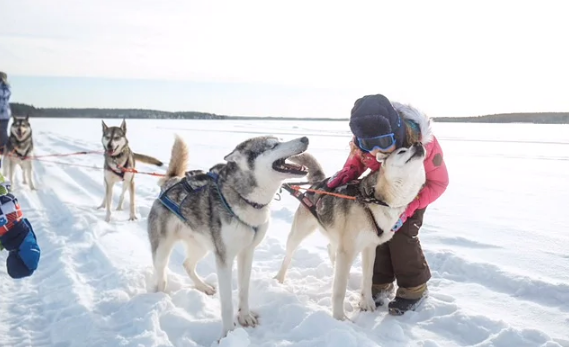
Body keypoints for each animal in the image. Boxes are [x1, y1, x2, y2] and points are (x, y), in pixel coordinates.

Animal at [146, 135, 306, 338]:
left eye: (280, 140)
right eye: (273, 145)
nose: (305, 138)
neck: (249, 201)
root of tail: (172, 181)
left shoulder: (247, 252)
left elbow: (244, 290)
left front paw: (245, 317)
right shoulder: (224, 259)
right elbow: (227, 303)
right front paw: (228, 334)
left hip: (202, 247)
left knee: (187, 264)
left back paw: (203, 287)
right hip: (163, 251)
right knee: (162, 274)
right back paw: (161, 295)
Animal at [272, 143, 424, 320]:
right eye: (402, 151)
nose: (419, 144)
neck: (375, 199)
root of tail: (319, 182)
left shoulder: (369, 247)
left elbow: (368, 278)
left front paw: (367, 303)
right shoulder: (347, 249)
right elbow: (339, 290)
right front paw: (339, 318)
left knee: (331, 250)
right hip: (299, 233)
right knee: (288, 256)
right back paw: (279, 279)